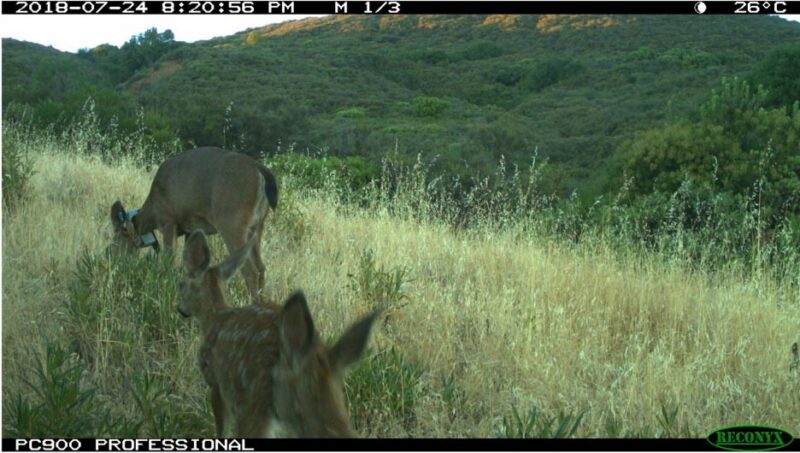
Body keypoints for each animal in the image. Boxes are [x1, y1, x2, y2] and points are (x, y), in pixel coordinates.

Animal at [109, 148, 278, 302]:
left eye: (117, 236)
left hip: (232, 223)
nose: (108, 254)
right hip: (257, 226)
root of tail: (260, 170)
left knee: (250, 271)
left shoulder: (168, 220)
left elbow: (168, 260)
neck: (152, 210)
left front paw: (163, 288)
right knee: (261, 267)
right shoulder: (191, 228)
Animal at [180, 230, 380, 438]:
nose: (180, 309)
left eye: (180, 285)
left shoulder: (213, 379)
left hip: (253, 404)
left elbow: (220, 427)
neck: (213, 319)